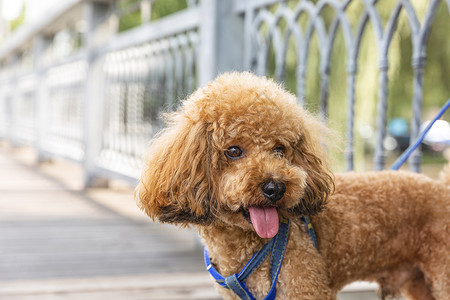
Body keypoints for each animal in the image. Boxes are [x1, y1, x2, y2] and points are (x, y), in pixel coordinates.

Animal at [136, 71, 450, 298]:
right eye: (233, 151)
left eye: (280, 149)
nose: (275, 188)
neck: (245, 250)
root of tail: (444, 190)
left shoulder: (305, 286)